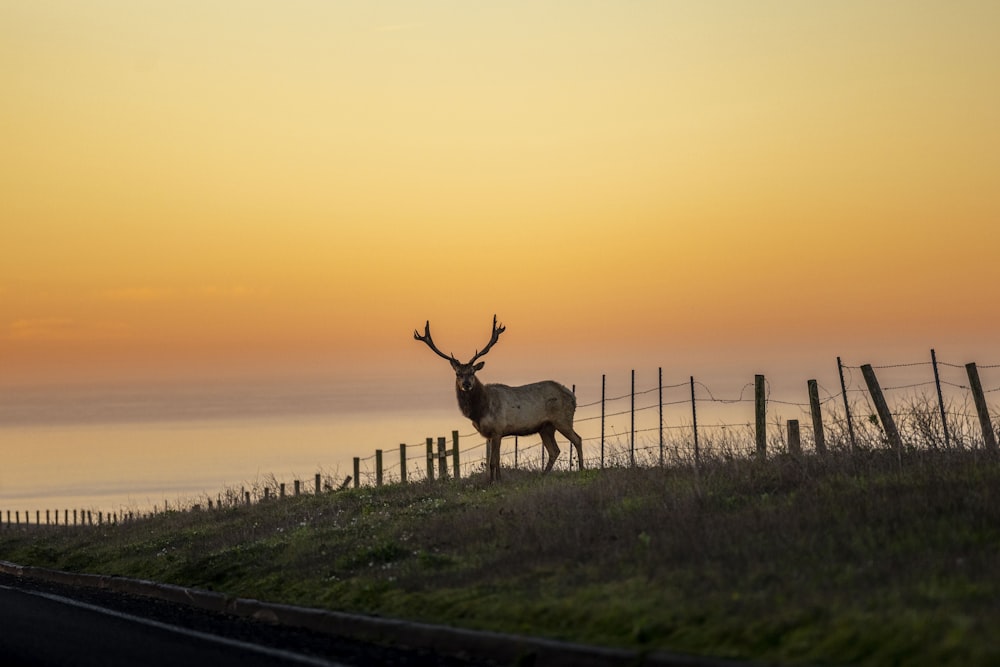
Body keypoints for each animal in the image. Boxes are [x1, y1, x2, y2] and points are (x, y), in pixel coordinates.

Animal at [414, 316, 584, 482]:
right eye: (458, 373)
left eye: (472, 372)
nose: (467, 384)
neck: (480, 411)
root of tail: (573, 396)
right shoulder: (490, 434)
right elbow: (494, 461)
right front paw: (494, 481)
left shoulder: (497, 429)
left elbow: (493, 461)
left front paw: (495, 482)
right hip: (546, 427)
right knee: (554, 450)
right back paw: (542, 476)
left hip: (562, 419)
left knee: (577, 439)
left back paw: (581, 469)